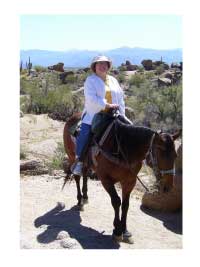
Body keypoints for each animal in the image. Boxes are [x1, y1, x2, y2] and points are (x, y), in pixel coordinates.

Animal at [63, 112, 181, 244]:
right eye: (161, 155)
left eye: (175, 155)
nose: (167, 186)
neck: (122, 148)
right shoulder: (105, 179)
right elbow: (116, 201)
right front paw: (117, 231)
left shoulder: (130, 181)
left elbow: (125, 204)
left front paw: (125, 231)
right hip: (72, 156)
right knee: (77, 176)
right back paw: (79, 202)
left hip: (86, 162)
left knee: (84, 174)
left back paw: (85, 198)